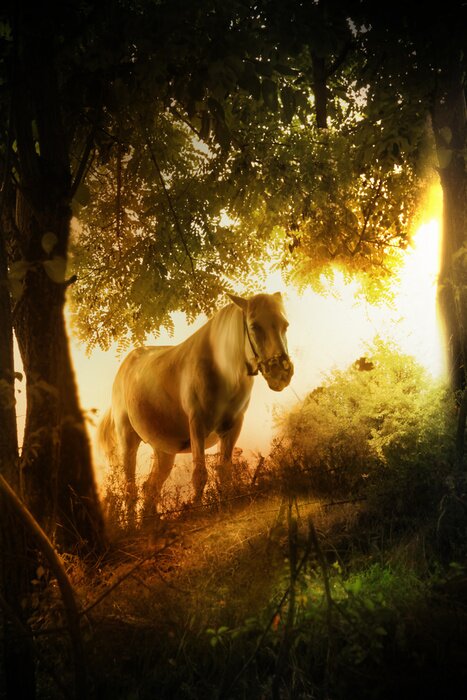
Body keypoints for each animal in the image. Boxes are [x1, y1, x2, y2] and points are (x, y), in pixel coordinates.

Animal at [97, 291, 294, 518]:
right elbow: (200, 475)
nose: (281, 372)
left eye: (285, 324)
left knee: (150, 488)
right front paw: (198, 513)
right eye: (254, 326)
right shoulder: (198, 426)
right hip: (128, 439)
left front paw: (227, 506)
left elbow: (224, 471)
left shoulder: (233, 428)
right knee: (130, 488)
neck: (222, 369)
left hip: (164, 451)